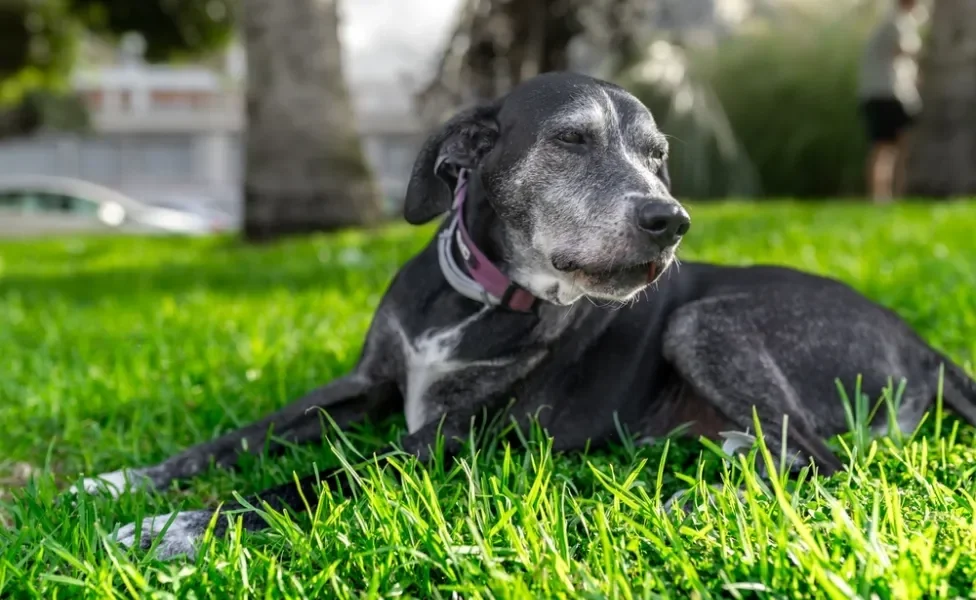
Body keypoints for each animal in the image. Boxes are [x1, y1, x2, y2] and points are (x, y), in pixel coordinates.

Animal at [72, 71, 976, 564]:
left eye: (658, 158)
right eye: (572, 141)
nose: (671, 220)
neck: (471, 299)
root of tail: (923, 343)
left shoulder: (450, 439)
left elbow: (311, 480)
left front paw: (178, 526)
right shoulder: (366, 384)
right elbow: (238, 437)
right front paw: (123, 480)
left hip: (705, 322)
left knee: (827, 462)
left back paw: (687, 503)